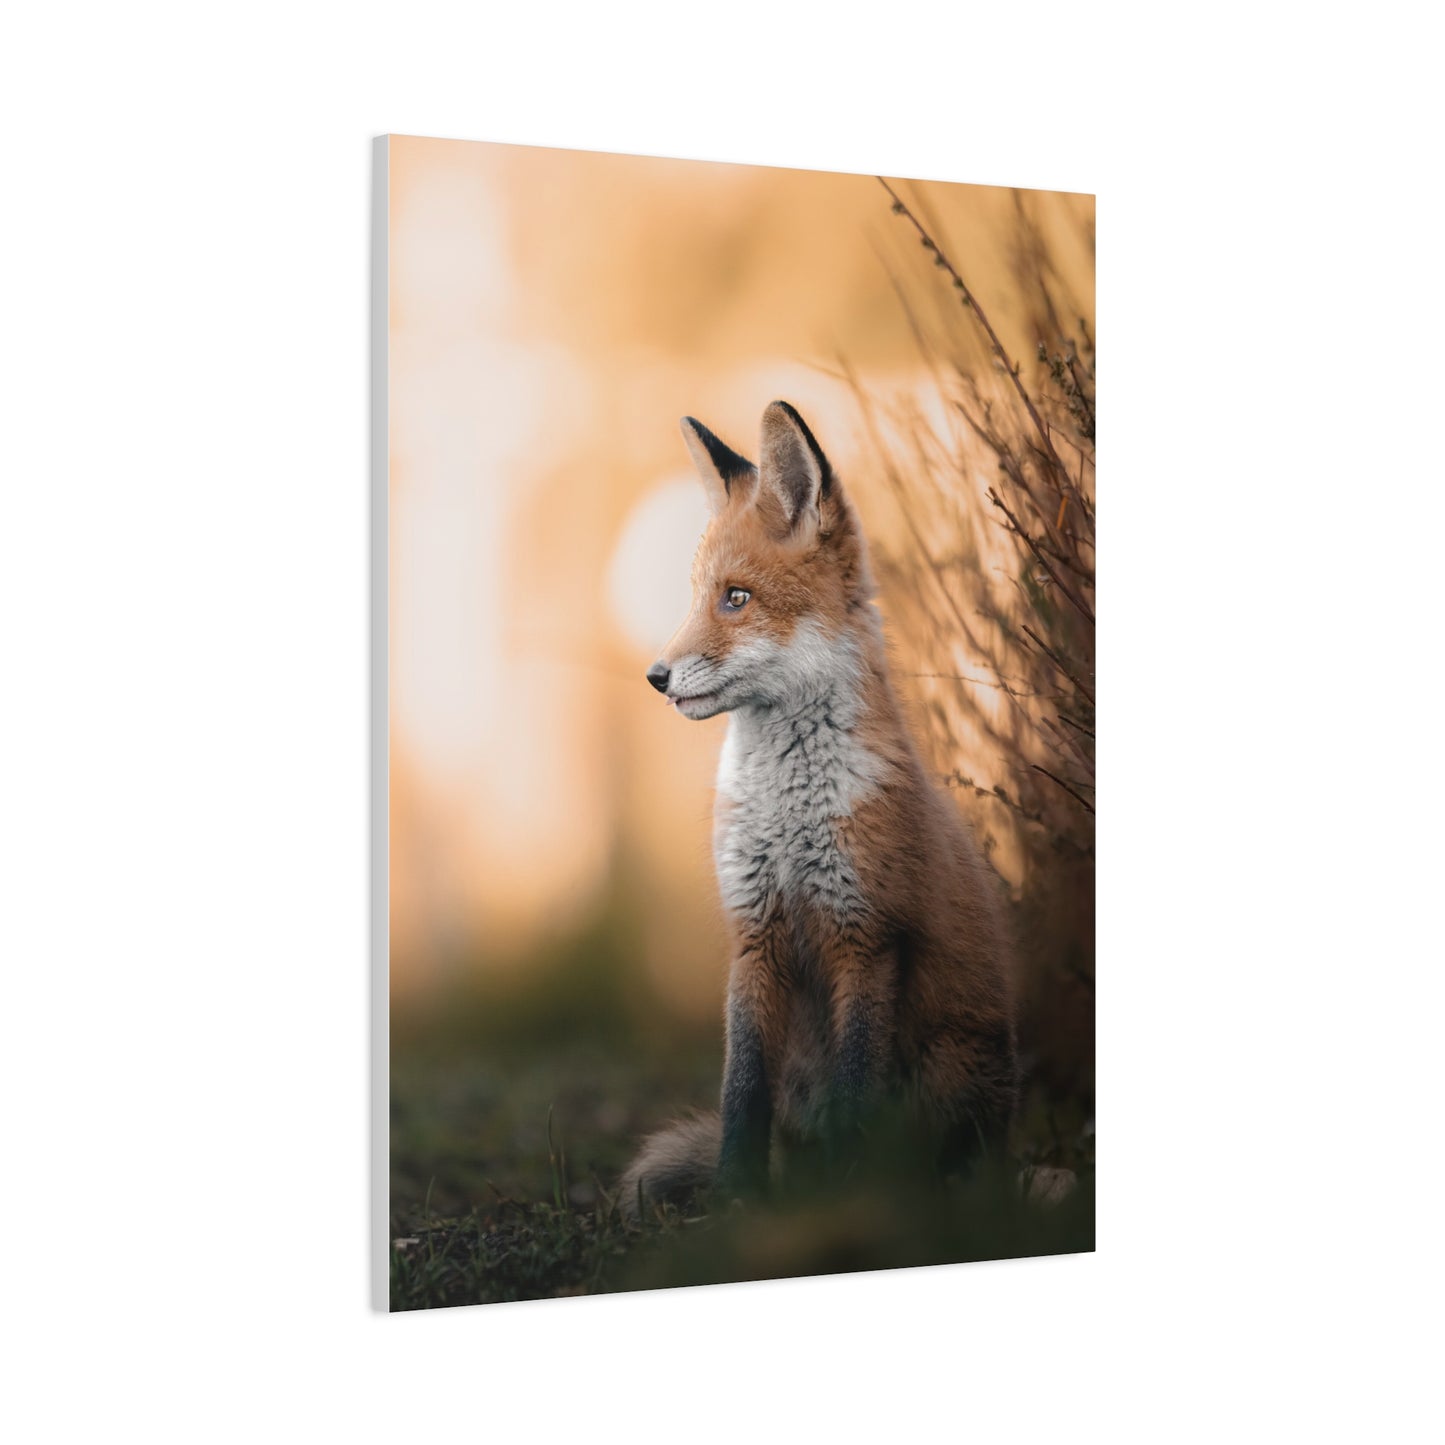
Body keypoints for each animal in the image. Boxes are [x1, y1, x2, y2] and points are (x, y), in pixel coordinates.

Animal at [618, 400, 1017, 1219]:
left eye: (736, 598)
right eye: (696, 595)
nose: (655, 677)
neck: (787, 814)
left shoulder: (864, 934)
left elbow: (856, 1090)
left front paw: (847, 1195)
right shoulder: (753, 934)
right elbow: (740, 1093)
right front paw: (737, 1200)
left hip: (950, 1068)